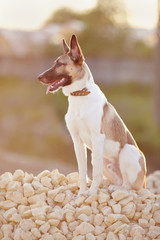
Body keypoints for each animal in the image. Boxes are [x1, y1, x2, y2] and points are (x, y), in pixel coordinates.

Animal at [37, 34, 146, 195]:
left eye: (60, 64)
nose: (39, 77)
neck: (80, 94)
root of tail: (144, 181)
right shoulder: (77, 141)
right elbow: (82, 171)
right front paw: (82, 192)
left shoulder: (97, 137)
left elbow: (95, 173)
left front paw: (92, 193)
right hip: (99, 156)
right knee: (120, 181)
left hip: (127, 151)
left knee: (128, 186)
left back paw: (118, 189)